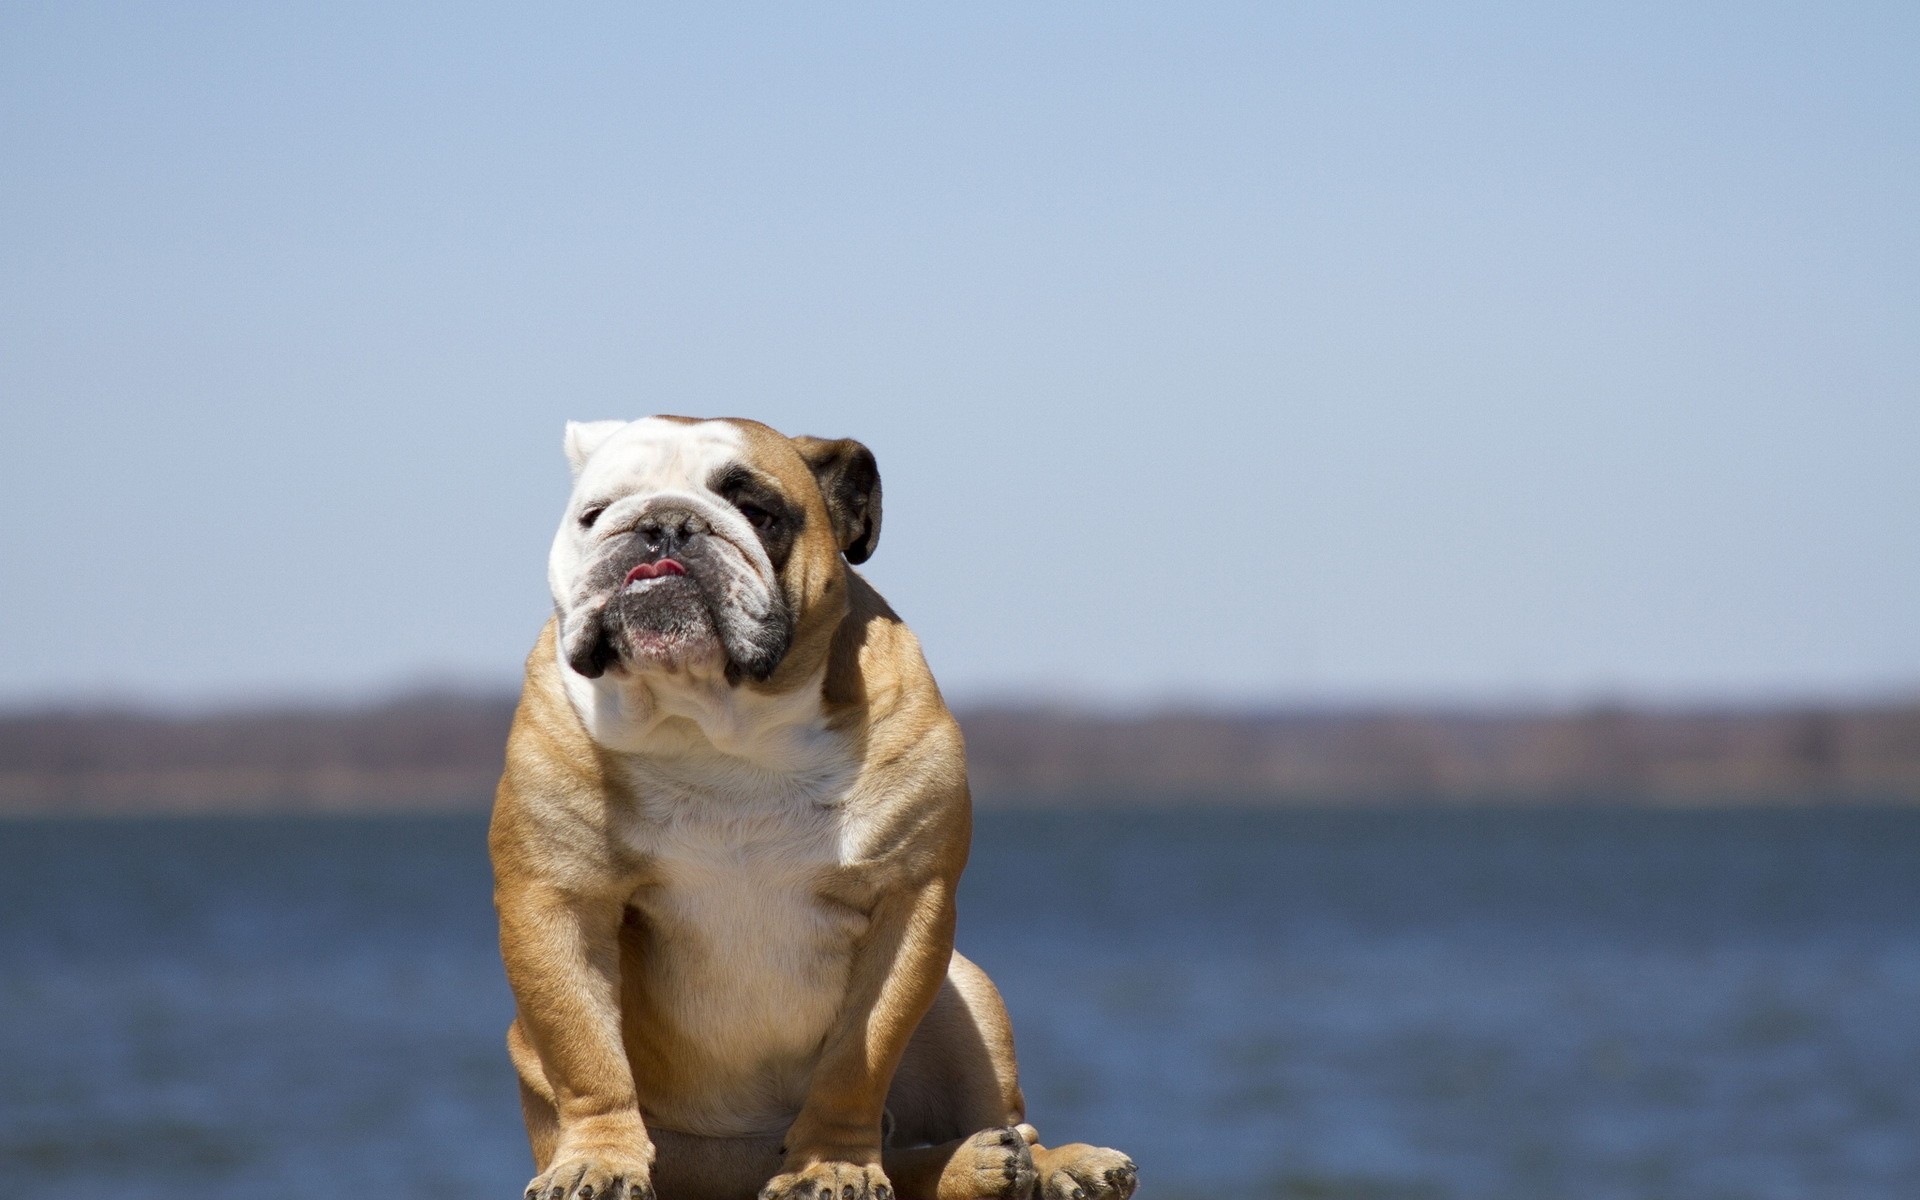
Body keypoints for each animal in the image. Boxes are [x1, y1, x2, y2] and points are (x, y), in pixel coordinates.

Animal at [487, 416, 1136, 1198]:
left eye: (759, 512)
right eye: (594, 515)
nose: (663, 525)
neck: (720, 728)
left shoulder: (907, 902)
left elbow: (859, 1056)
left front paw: (831, 1164)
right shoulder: (556, 900)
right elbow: (584, 1048)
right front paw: (598, 1159)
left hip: (966, 994)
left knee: (1001, 1122)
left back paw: (1037, 1163)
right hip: (698, 1154)